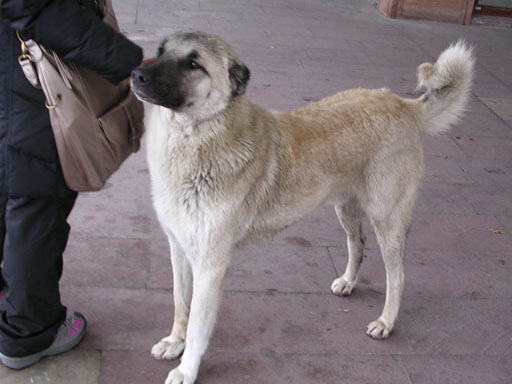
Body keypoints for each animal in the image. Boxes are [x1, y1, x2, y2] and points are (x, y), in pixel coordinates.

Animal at [130, 30, 474, 384]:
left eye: (194, 64)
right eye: (161, 51)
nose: (136, 74)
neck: (197, 139)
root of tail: (400, 103)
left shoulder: (211, 264)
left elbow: (199, 325)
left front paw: (187, 369)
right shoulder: (179, 248)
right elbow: (179, 302)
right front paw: (175, 342)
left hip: (387, 219)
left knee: (398, 274)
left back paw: (386, 322)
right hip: (346, 209)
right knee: (358, 243)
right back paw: (348, 282)